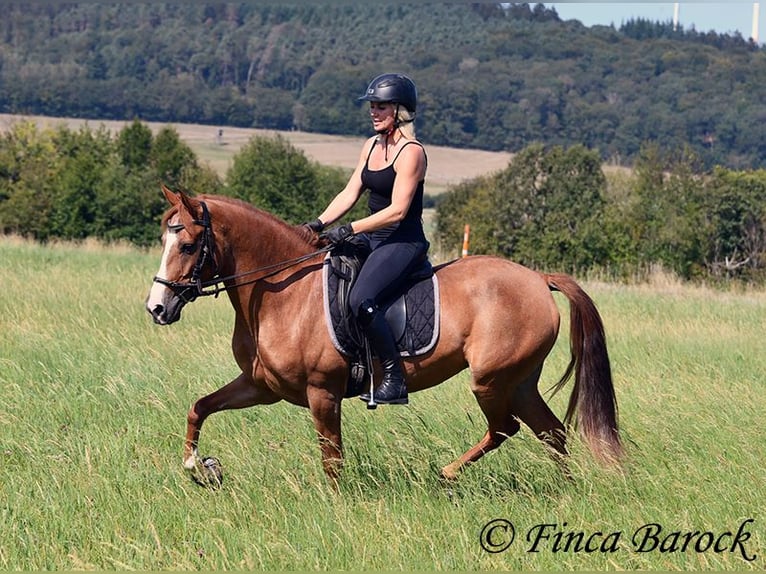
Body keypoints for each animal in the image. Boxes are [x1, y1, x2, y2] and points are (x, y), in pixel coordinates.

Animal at [146, 188, 624, 486]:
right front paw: (198, 466)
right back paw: (562, 493)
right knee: (552, 432)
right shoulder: (261, 386)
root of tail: (539, 279)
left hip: (492, 380)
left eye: (187, 246)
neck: (283, 292)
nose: (157, 308)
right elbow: (199, 407)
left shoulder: (323, 392)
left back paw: (447, 474)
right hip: (520, 381)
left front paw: (334, 506)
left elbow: (332, 459)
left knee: (506, 428)